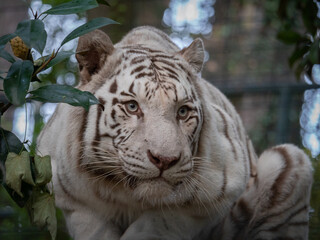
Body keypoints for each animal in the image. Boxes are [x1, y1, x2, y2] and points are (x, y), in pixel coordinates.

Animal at [37, 26, 312, 240]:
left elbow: (161, 221)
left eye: (182, 111)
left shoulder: (219, 190)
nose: (165, 160)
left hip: (290, 160)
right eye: (132, 107)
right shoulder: (74, 200)